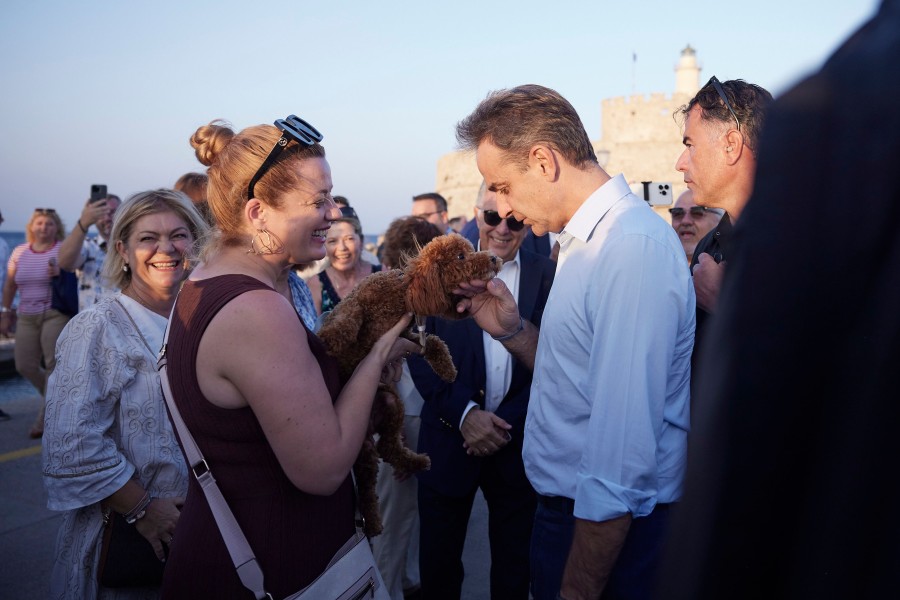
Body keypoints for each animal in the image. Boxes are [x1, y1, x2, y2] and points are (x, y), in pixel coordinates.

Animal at [316, 233, 500, 536]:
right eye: (460, 256)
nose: (495, 258)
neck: (403, 293)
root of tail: (367, 430)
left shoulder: (408, 336)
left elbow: (433, 342)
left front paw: (447, 369)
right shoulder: (359, 299)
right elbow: (348, 316)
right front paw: (330, 338)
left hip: (390, 406)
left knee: (384, 454)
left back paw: (410, 471)